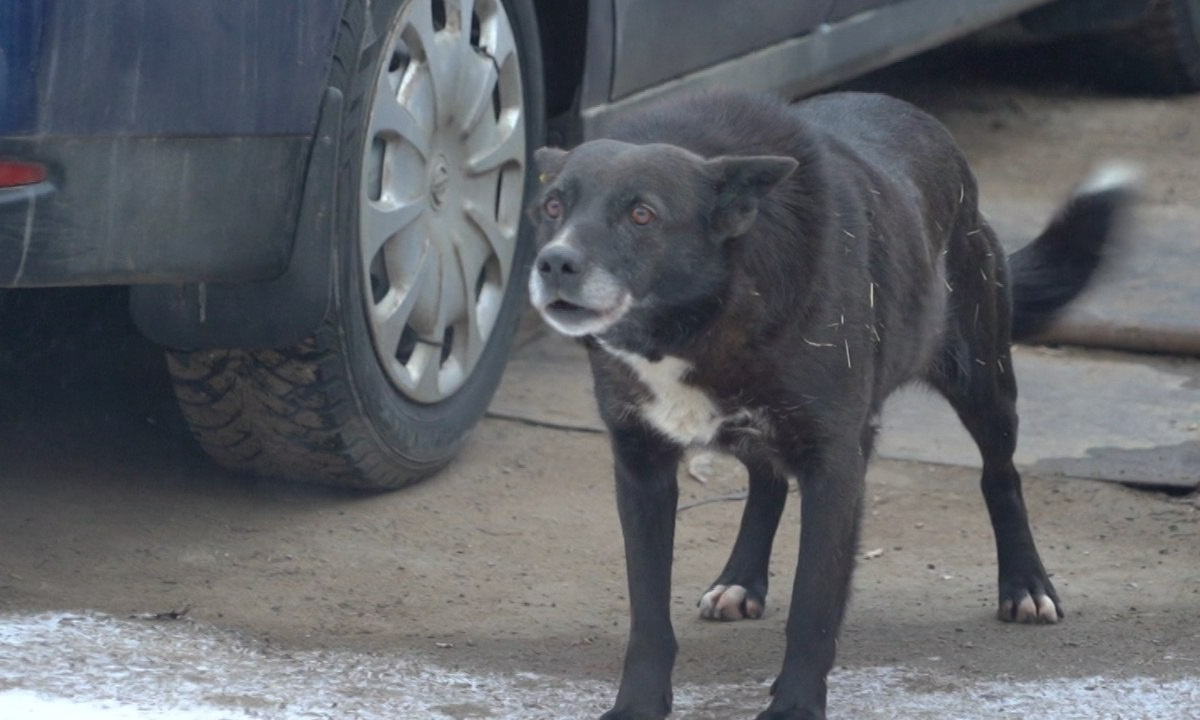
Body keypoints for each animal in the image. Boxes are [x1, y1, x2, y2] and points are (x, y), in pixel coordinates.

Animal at [528, 90, 1132, 720]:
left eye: (642, 214)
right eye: (552, 205)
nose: (555, 263)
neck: (699, 320)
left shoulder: (836, 466)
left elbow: (813, 606)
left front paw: (794, 706)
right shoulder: (641, 466)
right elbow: (648, 612)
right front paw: (639, 704)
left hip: (984, 384)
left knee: (1001, 475)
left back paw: (1026, 586)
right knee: (767, 482)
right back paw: (741, 579)